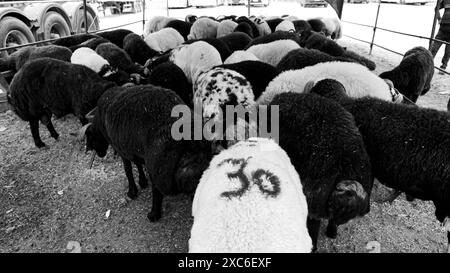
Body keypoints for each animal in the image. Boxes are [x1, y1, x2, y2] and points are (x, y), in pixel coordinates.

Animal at [266, 91, 374, 251]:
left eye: (346, 215)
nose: (337, 220)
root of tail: (281, 96)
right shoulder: (313, 206)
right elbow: (313, 227)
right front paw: (314, 245)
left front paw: (331, 232)